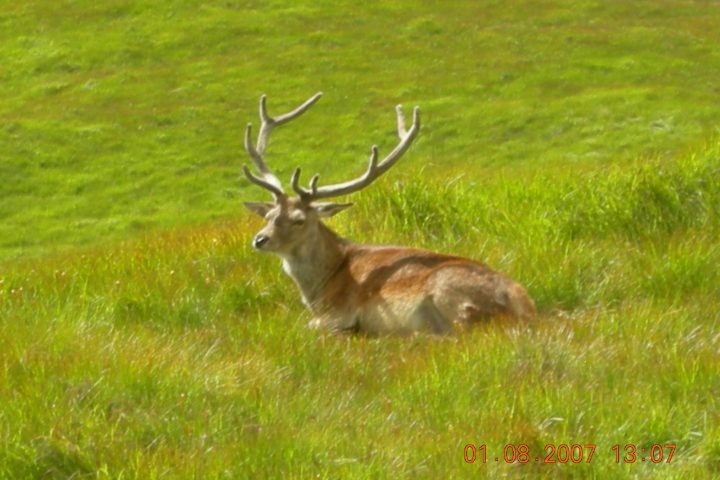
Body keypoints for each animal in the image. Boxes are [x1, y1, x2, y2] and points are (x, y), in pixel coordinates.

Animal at [241, 92, 535, 336]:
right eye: (267, 216)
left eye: (299, 220)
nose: (260, 239)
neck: (320, 288)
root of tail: (524, 307)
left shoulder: (339, 314)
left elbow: (304, 326)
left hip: (450, 294)